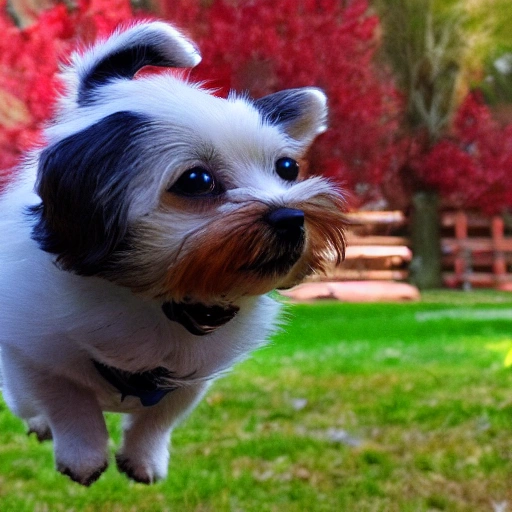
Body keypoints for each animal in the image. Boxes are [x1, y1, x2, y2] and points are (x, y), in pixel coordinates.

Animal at [0, 21, 346, 484]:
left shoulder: (194, 376)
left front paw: (143, 458)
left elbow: (160, 417)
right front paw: (83, 455)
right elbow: (68, 401)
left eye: (287, 169)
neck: (160, 298)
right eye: (197, 181)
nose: (292, 217)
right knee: (27, 403)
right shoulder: (32, 351)